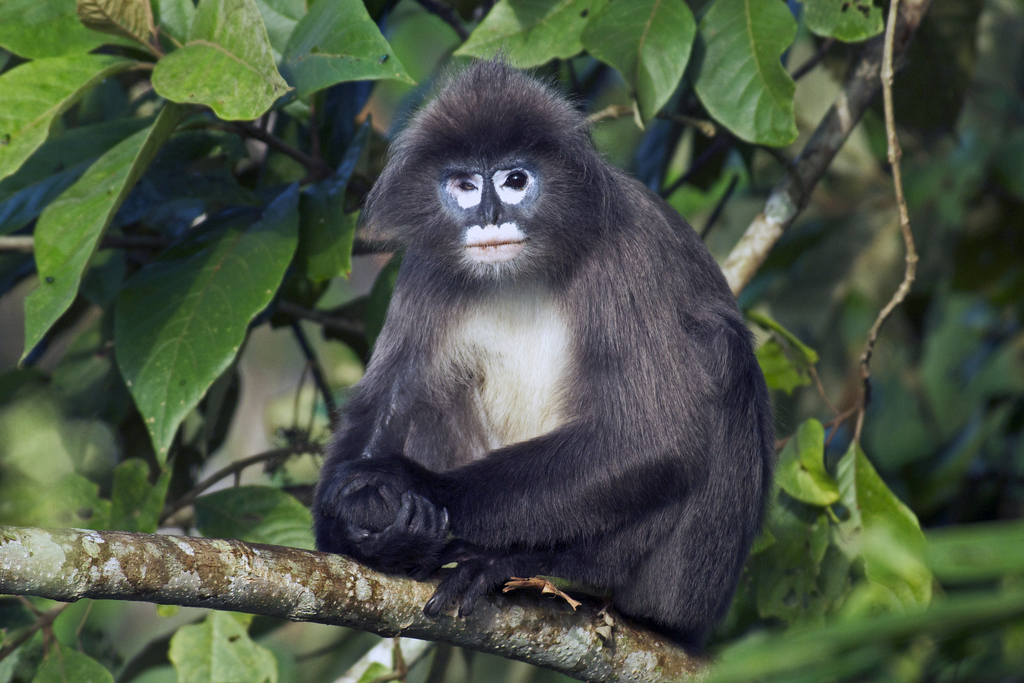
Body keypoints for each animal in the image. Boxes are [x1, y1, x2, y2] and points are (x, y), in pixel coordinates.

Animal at [312, 61, 774, 648]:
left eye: (515, 180)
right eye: (465, 185)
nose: (488, 215)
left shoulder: (626, 249)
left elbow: (655, 436)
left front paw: (410, 484)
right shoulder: (426, 267)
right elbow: (386, 399)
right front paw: (357, 522)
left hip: (690, 587)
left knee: (719, 354)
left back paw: (532, 563)